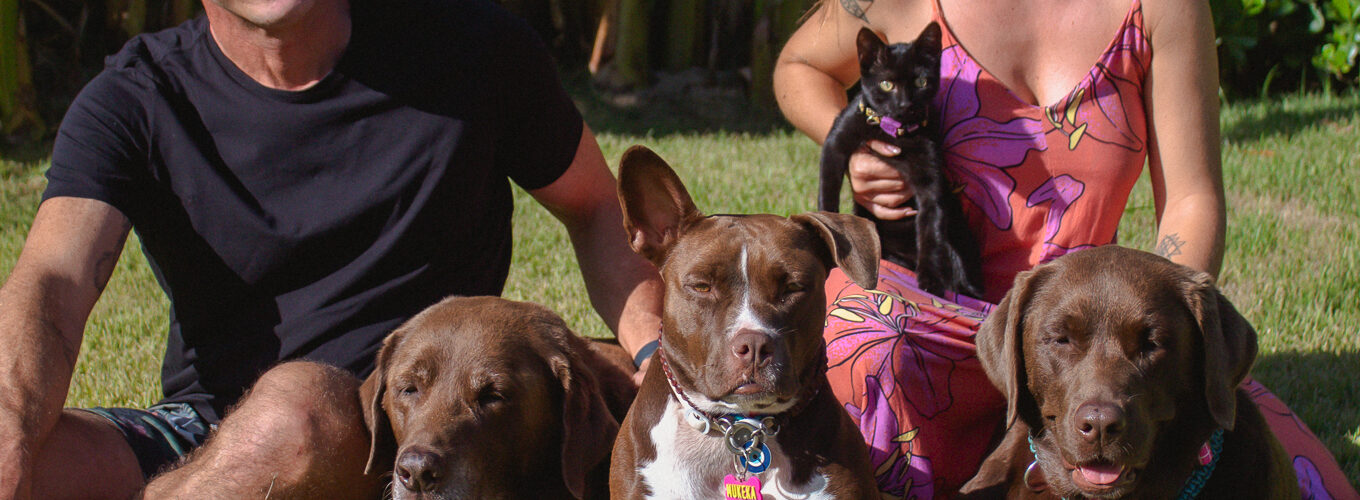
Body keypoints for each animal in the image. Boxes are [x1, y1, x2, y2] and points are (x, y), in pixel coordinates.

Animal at [816, 23, 979, 298]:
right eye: (886, 84)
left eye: (921, 81)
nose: (905, 104)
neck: (893, 132)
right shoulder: (835, 145)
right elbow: (827, 194)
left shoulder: (930, 175)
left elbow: (931, 227)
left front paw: (931, 279)